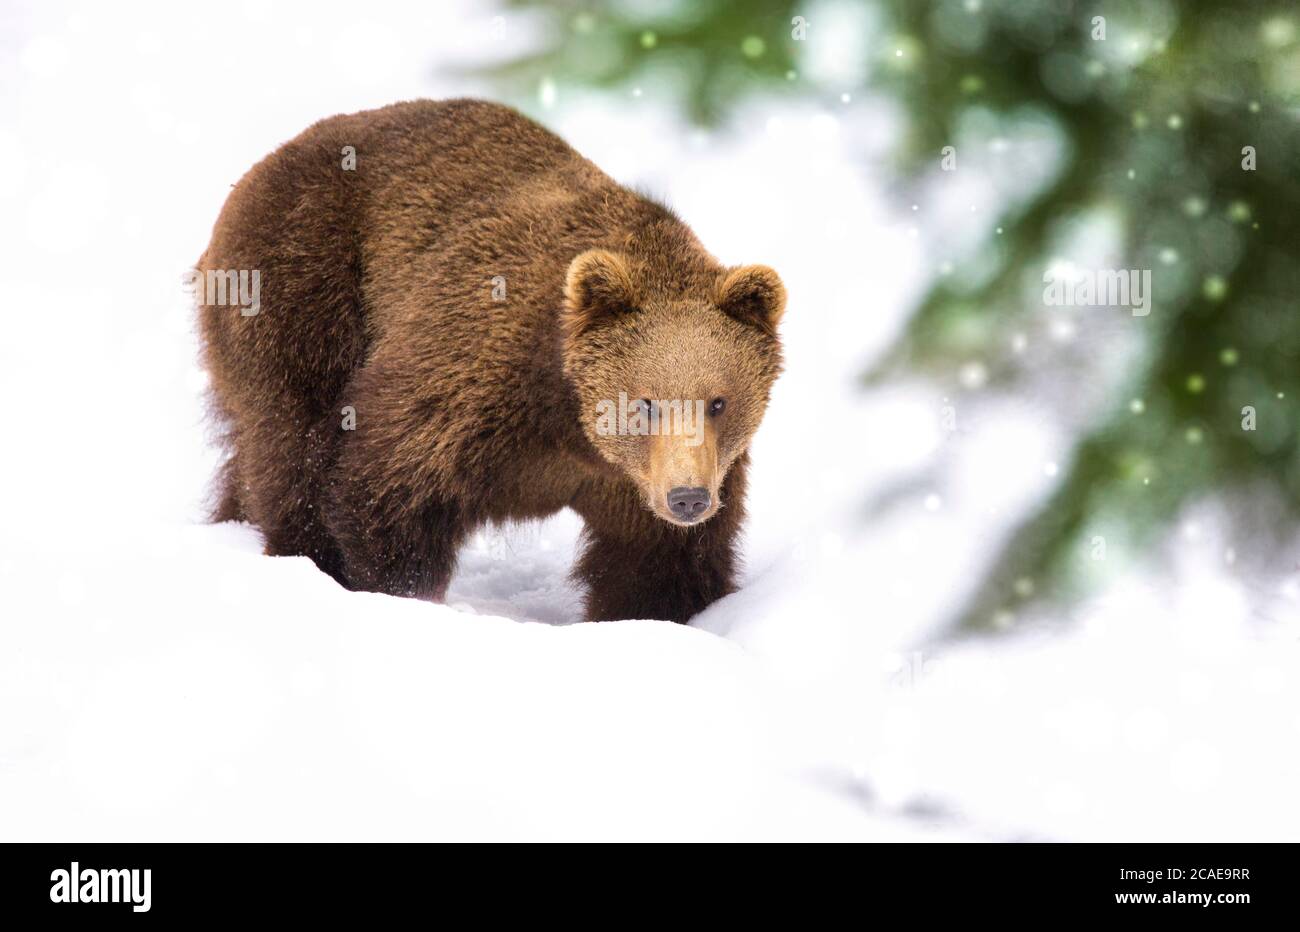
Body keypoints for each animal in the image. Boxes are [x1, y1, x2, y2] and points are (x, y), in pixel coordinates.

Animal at [196, 99, 785, 623]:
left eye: (718, 401)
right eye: (644, 403)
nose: (687, 498)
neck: (568, 420)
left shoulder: (651, 484)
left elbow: (661, 567)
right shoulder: (472, 375)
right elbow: (387, 483)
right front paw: (394, 591)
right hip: (302, 280)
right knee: (295, 439)